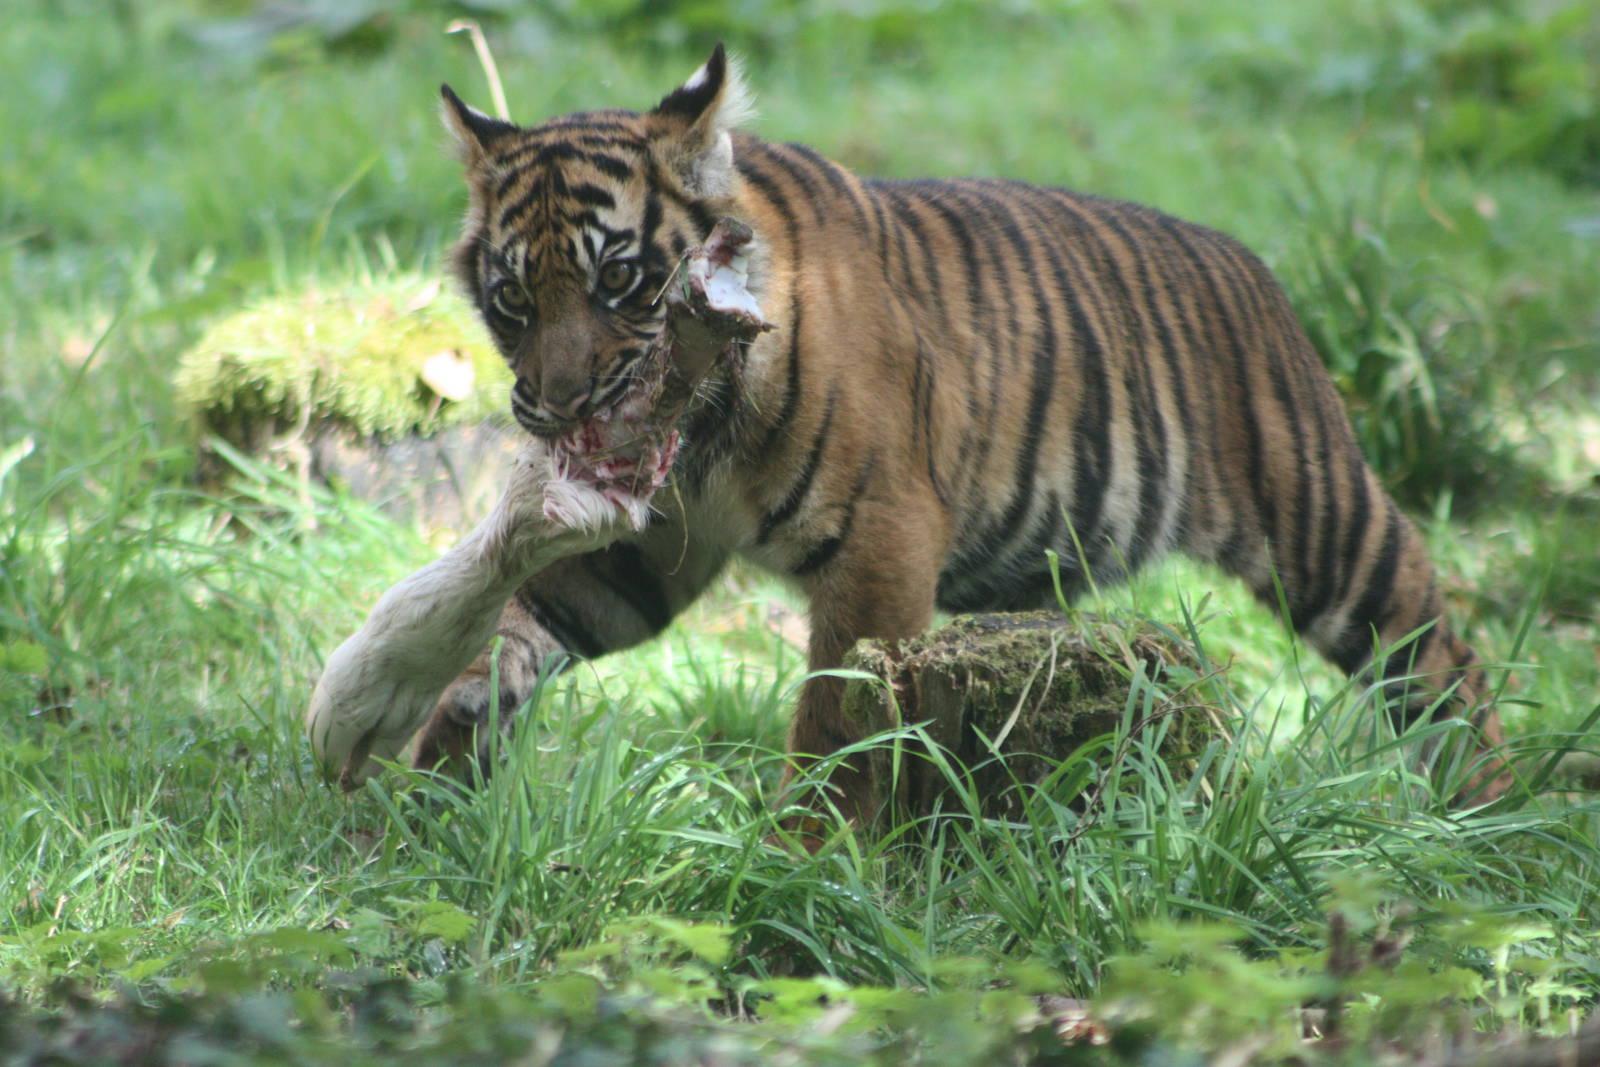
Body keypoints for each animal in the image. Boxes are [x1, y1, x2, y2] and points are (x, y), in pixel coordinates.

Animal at [370, 44, 1512, 819]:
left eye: (621, 279)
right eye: (513, 299)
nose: (558, 407)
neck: (703, 430)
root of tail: (1251, 265)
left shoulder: (880, 536)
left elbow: (837, 716)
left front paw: (803, 853)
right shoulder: (646, 556)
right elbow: (520, 622)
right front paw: (438, 757)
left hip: (1325, 528)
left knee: (1442, 655)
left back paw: (1494, 812)